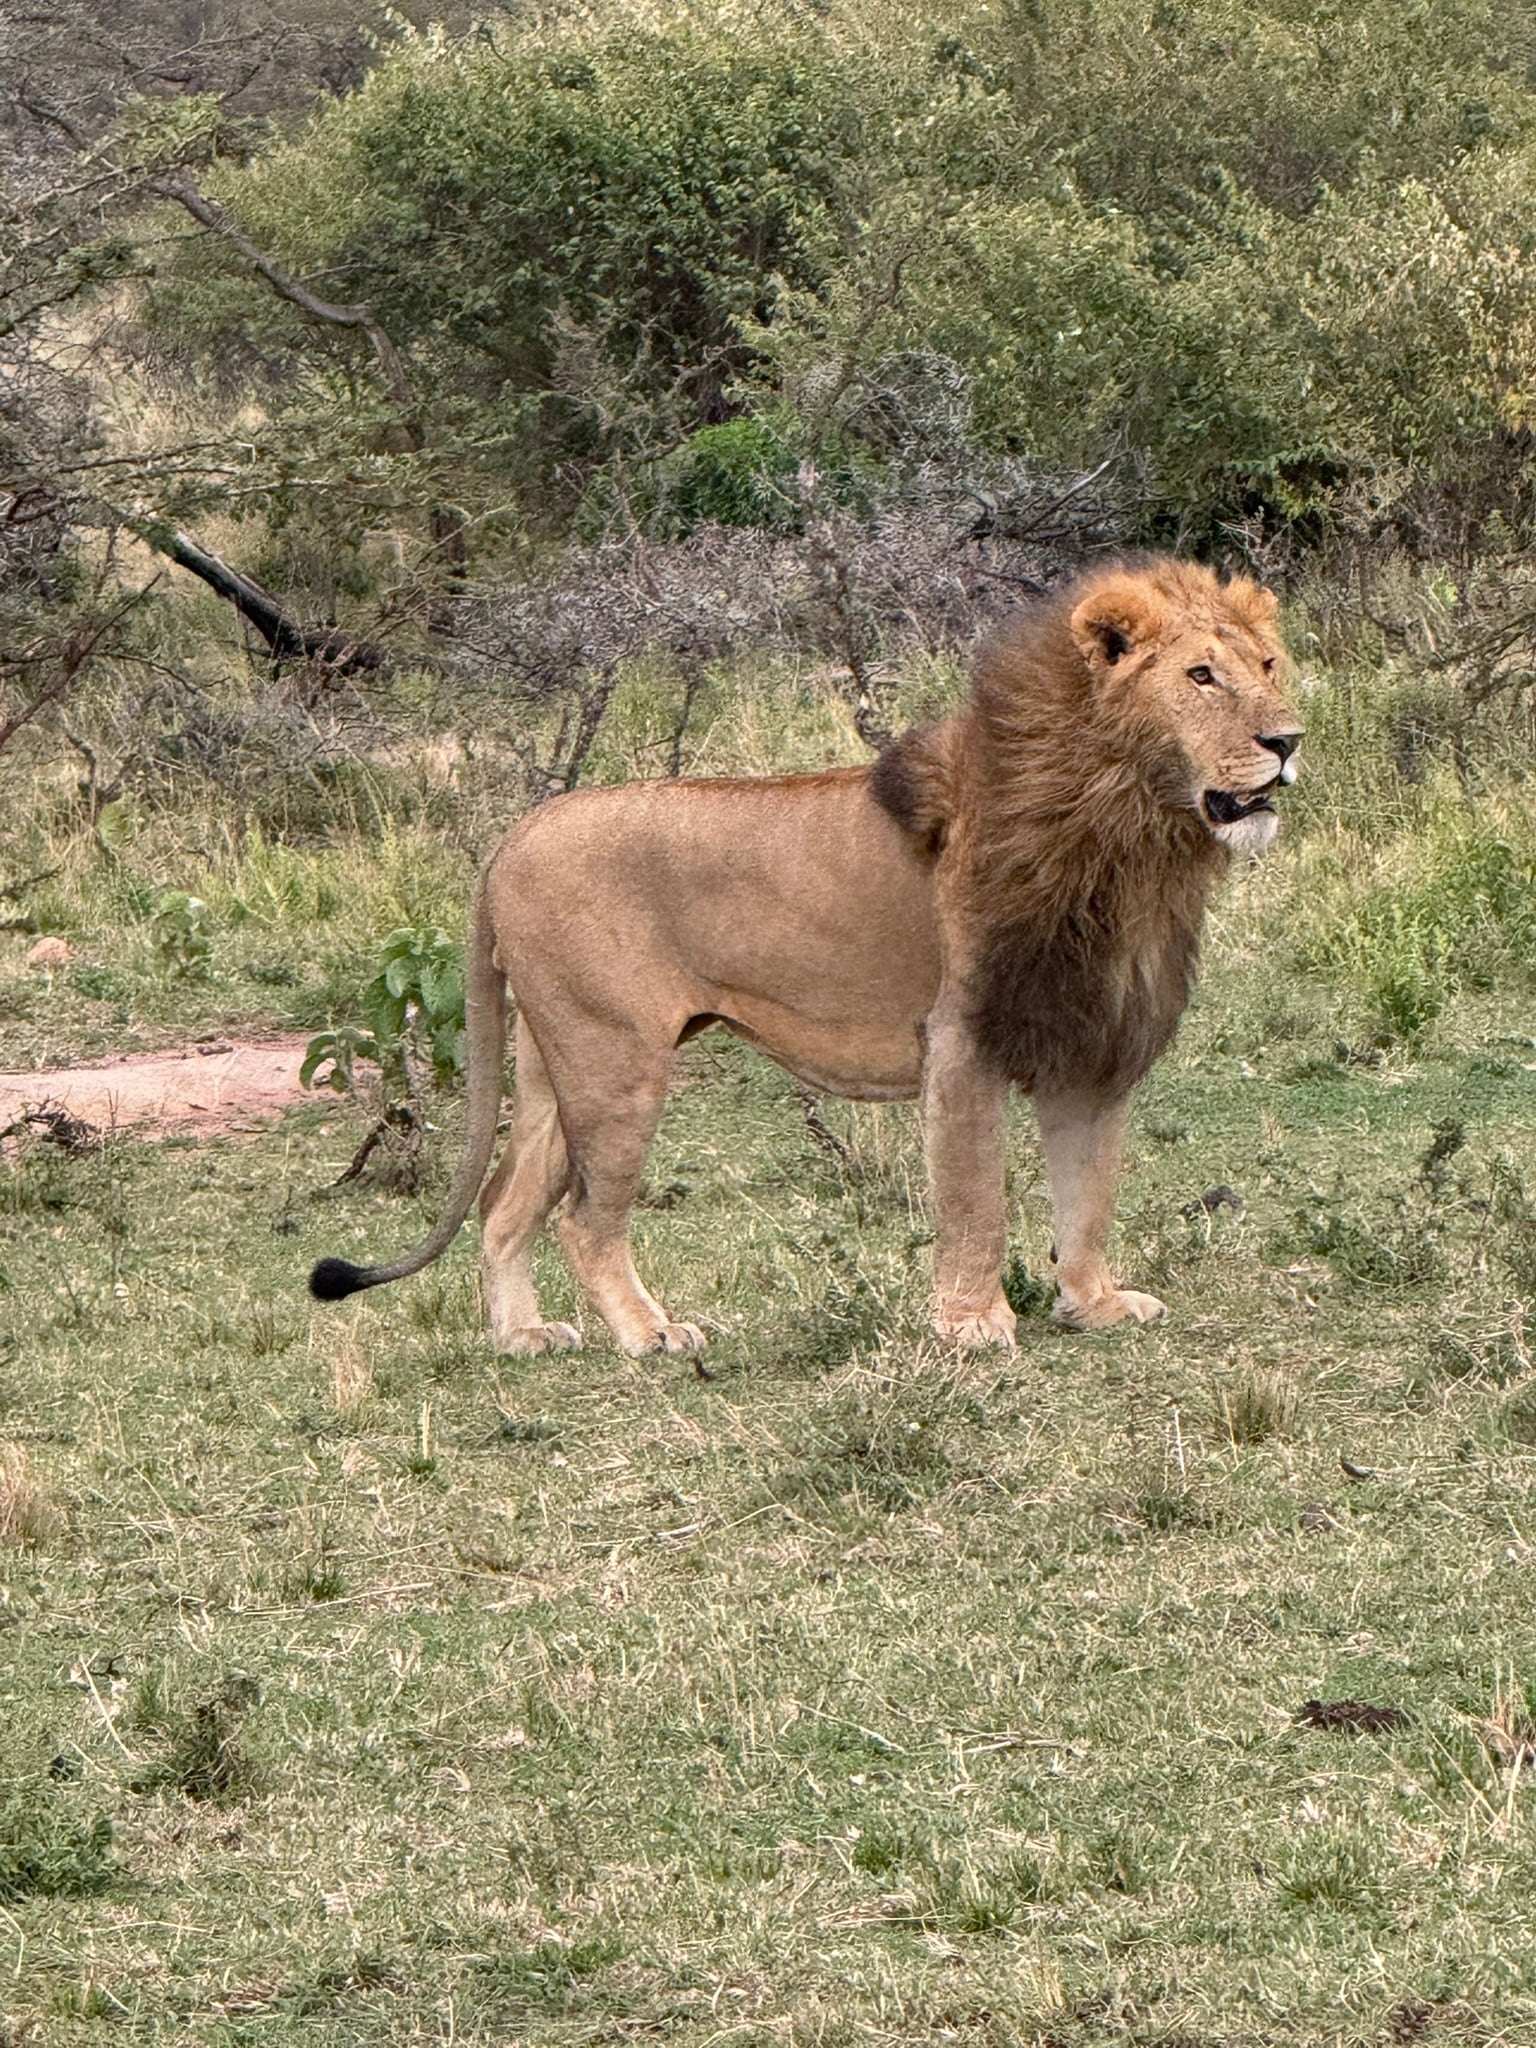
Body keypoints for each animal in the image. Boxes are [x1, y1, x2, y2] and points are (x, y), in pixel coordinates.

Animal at [311, 556, 1300, 1355]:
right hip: (615, 1059)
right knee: (585, 1221)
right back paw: (650, 1334)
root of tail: (515, 835)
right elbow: (976, 1200)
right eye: (1201, 676)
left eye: (1266, 666)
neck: (1132, 835)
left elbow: (1088, 1196)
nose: (1287, 742)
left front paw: (1094, 1305)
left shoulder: (1092, 1046)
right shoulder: (962, 1039)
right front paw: (974, 1327)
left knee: (504, 1205)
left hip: (555, 1063)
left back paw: (522, 1337)